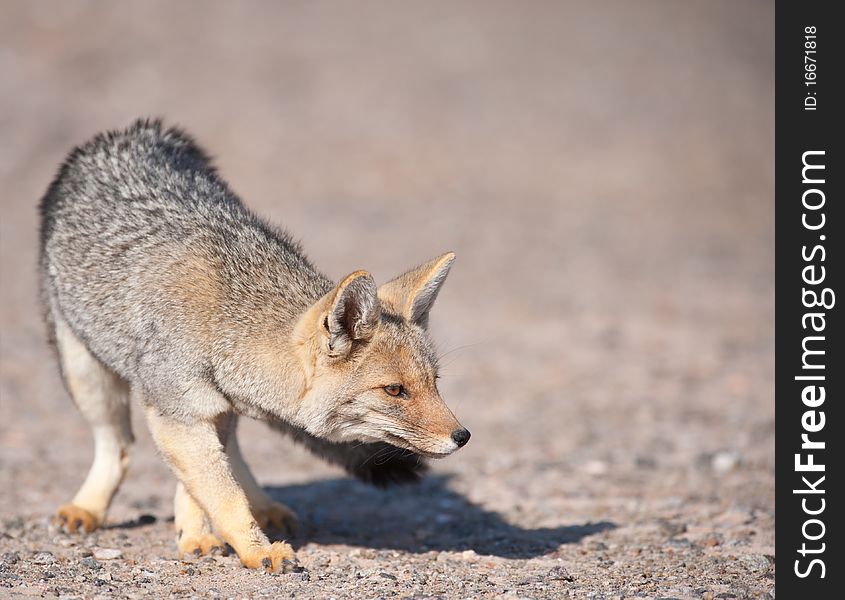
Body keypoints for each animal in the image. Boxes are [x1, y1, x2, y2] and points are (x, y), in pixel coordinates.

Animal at [39, 118, 468, 572]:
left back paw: (260, 504)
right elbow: (221, 494)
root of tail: (134, 131)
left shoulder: (210, 410)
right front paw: (255, 549)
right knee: (118, 447)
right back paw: (88, 506)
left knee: (231, 454)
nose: (463, 436)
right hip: (87, 376)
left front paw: (196, 535)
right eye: (394, 390)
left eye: (434, 382)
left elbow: (203, 486)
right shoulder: (177, 415)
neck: (226, 321)